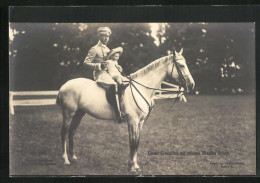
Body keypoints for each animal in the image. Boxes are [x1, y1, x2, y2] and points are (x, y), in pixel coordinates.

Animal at [57, 48, 195, 172]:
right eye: (181, 65)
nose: (192, 84)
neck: (141, 89)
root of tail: (64, 86)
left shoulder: (140, 122)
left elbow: (137, 142)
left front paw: (135, 165)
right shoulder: (132, 121)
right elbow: (133, 142)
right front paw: (131, 167)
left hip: (79, 113)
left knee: (72, 131)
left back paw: (73, 157)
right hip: (68, 113)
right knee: (64, 133)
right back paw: (65, 159)